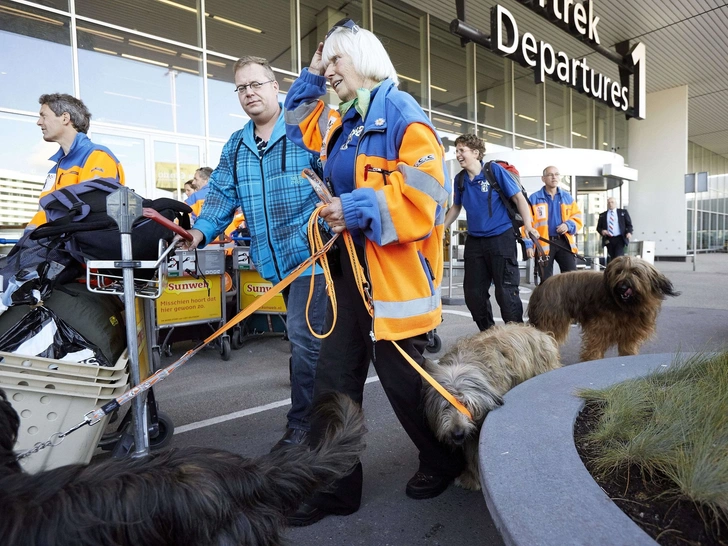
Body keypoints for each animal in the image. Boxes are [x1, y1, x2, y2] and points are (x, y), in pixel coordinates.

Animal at [528, 255, 680, 362]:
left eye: (635, 272)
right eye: (618, 271)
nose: (622, 287)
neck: (627, 306)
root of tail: (540, 287)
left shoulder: (630, 331)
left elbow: (628, 347)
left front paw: (629, 356)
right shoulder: (600, 326)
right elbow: (595, 345)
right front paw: (592, 359)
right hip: (552, 321)